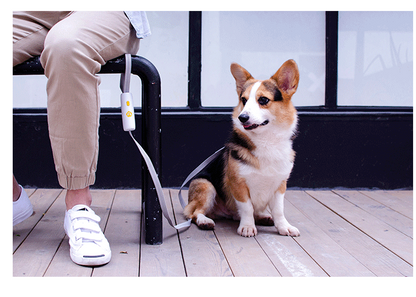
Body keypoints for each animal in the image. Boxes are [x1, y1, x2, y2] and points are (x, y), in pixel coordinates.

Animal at [184, 59, 300, 236]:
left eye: (263, 100)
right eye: (244, 100)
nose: (242, 117)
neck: (266, 141)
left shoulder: (280, 186)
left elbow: (279, 210)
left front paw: (284, 227)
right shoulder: (238, 184)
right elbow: (247, 208)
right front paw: (247, 227)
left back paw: (263, 217)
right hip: (205, 185)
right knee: (195, 212)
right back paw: (205, 221)